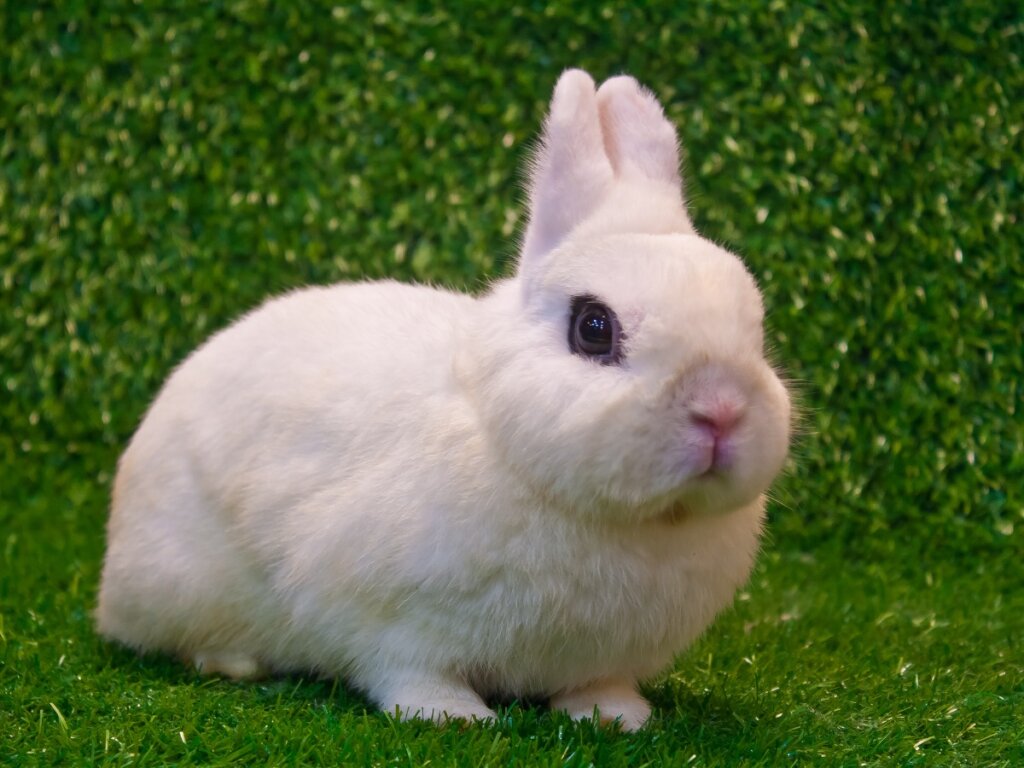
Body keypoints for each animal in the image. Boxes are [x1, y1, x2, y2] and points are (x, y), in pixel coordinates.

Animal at [96, 69, 792, 732]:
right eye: (594, 328)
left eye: (755, 329)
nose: (722, 409)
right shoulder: (387, 618)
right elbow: (409, 670)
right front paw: (452, 716)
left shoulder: (602, 655)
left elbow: (597, 686)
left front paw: (620, 719)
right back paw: (233, 661)